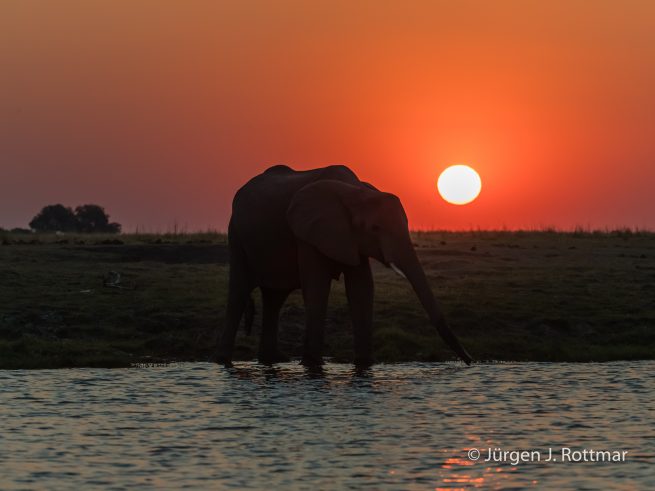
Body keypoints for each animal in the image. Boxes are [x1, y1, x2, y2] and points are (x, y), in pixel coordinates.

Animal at [215, 164, 472, 367]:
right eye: (375, 228)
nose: (469, 361)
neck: (355, 191)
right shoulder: (308, 232)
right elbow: (317, 285)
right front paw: (312, 365)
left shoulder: (351, 238)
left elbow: (362, 288)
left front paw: (365, 365)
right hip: (236, 233)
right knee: (239, 292)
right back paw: (224, 362)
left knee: (274, 298)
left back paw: (272, 361)